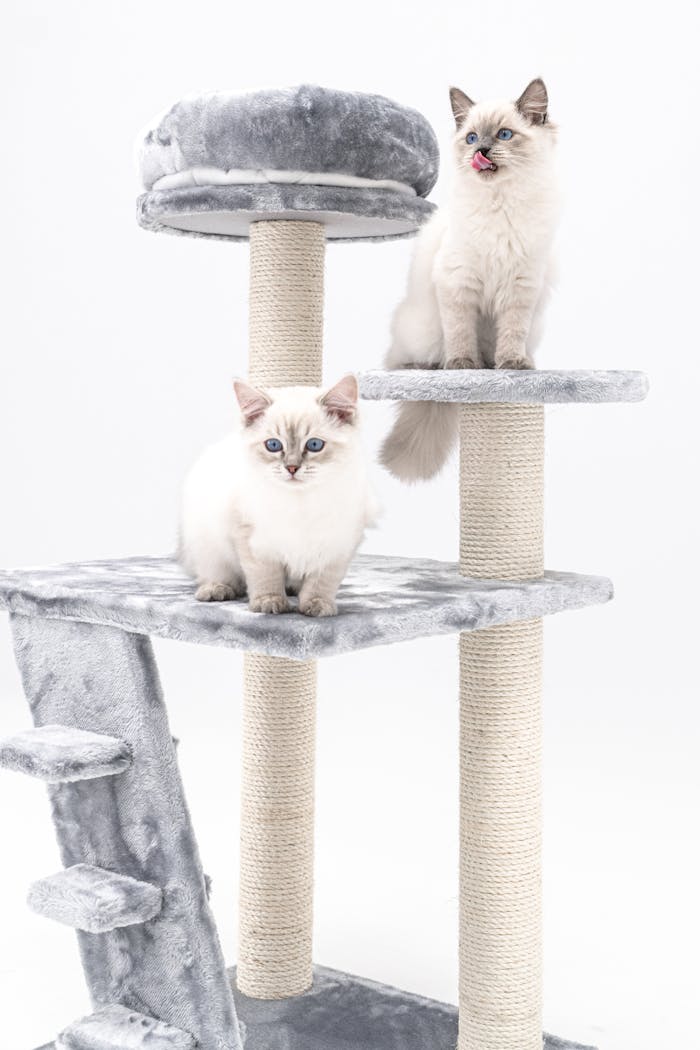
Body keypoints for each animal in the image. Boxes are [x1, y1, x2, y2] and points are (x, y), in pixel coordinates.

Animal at [180, 375, 377, 613]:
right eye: (273, 445)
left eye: (314, 445)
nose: (291, 468)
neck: (300, 501)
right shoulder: (255, 540)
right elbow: (266, 576)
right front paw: (269, 602)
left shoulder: (338, 543)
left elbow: (321, 582)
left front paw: (317, 605)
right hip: (207, 544)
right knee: (216, 574)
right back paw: (217, 590)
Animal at [379, 79, 562, 480]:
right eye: (472, 137)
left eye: (504, 135)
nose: (481, 151)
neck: (500, 206)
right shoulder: (458, 282)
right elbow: (461, 333)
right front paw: (464, 368)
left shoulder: (520, 287)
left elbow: (511, 335)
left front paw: (511, 367)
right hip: (421, 332)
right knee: (400, 360)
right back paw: (438, 369)